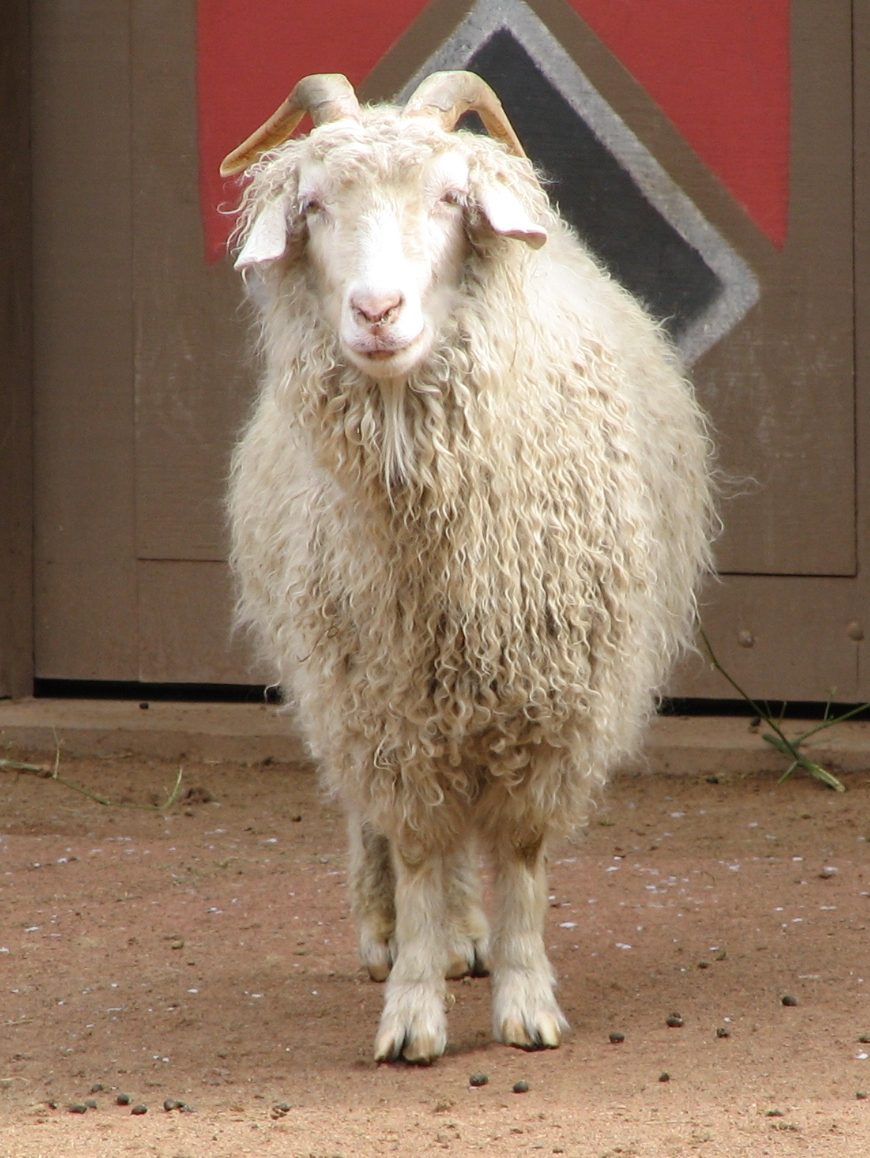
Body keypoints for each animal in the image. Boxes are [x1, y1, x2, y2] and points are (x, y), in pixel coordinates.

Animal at [223, 72, 714, 1064]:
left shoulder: (552, 704)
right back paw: (409, 937)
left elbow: (519, 862)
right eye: (313, 205)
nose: (377, 313)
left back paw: (470, 940)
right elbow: (417, 853)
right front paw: (412, 1008)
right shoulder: (381, 707)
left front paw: (526, 1003)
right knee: (398, 835)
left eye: (451, 197)